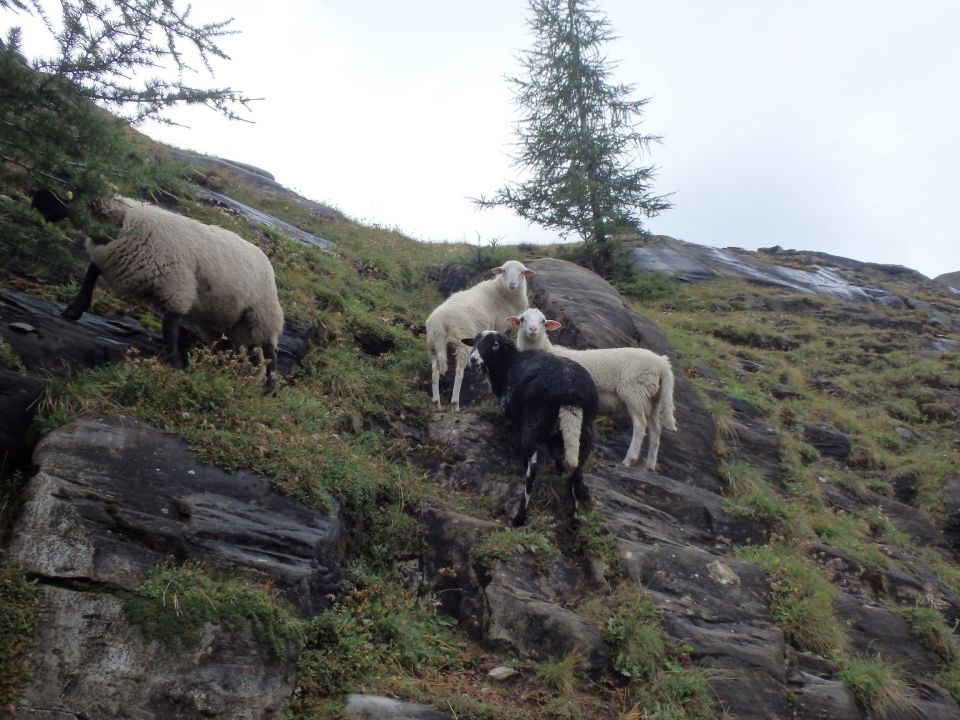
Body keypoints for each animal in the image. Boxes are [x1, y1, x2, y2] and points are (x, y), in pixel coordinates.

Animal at [57, 196, 284, 388]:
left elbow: (171, 327)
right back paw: (231, 374)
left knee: (268, 351)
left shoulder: (177, 287)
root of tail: (265, 259)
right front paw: (73, 310)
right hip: (227, 321)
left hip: (262, 313)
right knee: (240, 351)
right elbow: (92, 272)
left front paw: (174, 365)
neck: (134, 225)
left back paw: (270, 387)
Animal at [425, 260, 533, 411]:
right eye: (504, 271)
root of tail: (438, 323)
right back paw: (455, 404)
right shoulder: (501, 327)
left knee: (435, 372)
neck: (502, 292)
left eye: (522, 272)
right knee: (459, 373)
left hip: (433, 345)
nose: (512, 284)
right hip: (461, 341)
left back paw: (437, 403)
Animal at [462, 330, 598, 527]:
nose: (473, 360)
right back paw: (574, 521)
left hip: (533, 427)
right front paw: (559, 472)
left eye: (495, 344)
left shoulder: (515, 420)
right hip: (585, 434)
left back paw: (520, 517)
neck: (509, 365)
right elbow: (558, 457)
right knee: (577, 473)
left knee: (533, 469)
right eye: (474, 342)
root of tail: (572, 395)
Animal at [507, 307, 677, 471]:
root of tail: (662, 364)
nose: (533, 329)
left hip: (634, 392)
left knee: (640, 425)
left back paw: (629, 460)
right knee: (656, 430)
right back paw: (650, 465)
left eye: (543, 321)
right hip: (653, 398)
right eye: (522, 319)